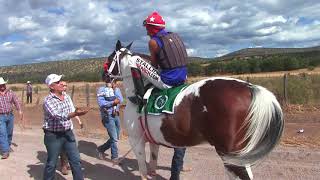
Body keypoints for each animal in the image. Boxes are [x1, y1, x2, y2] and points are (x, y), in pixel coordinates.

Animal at [106, 40, 284, 180]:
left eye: (109, 58)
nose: (105, 76)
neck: (140, 95)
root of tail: (250, 87)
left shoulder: (136, 140)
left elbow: (143, 169)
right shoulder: (152, 141)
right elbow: (153, 164)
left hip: (231, 155)